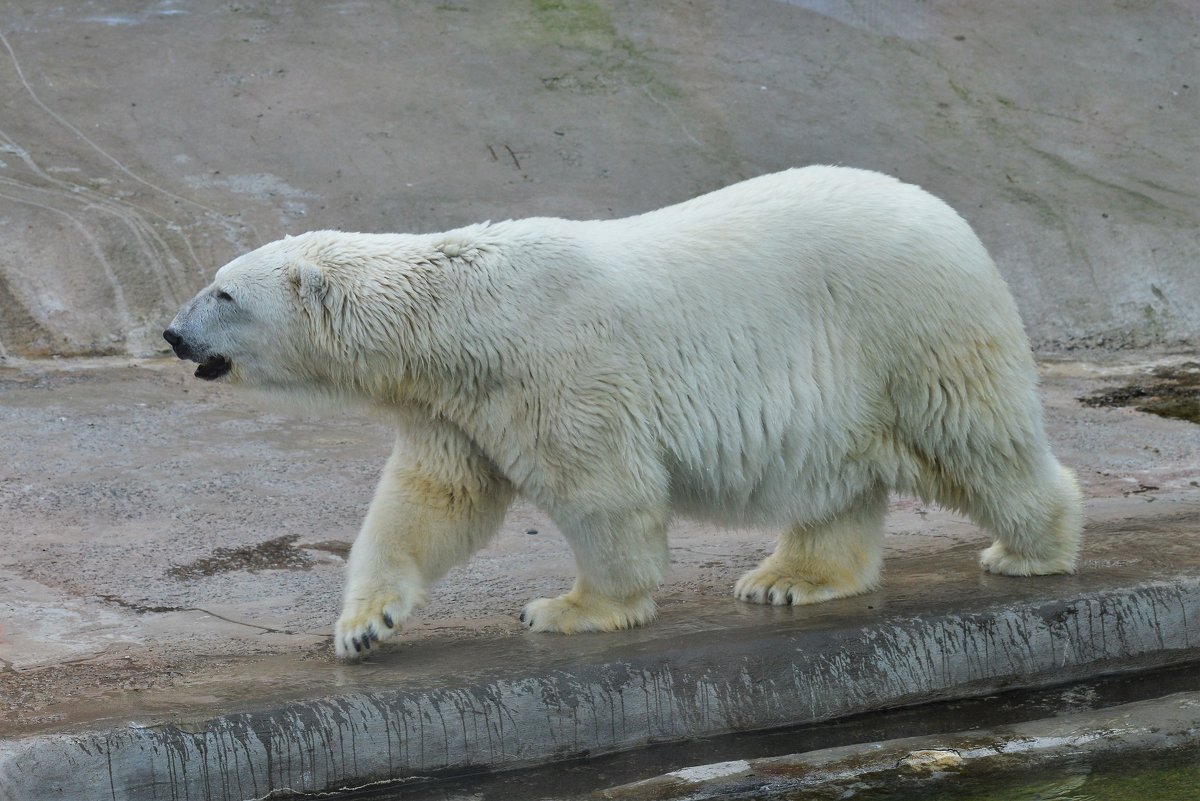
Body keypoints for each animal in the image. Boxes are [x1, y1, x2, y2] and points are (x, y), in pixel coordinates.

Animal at [164, 165, 1084, 661]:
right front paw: (364, 626)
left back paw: (1032, 547)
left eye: (224, 291)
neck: (461, 319)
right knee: (833, 483)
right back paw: (787, 579)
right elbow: (428, 503)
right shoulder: (456, 407)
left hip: (912, 328)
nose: (172, 332)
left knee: (975, 437)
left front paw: (569, 609)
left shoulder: (553, 366)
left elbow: (603, 490)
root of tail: (952, 218)